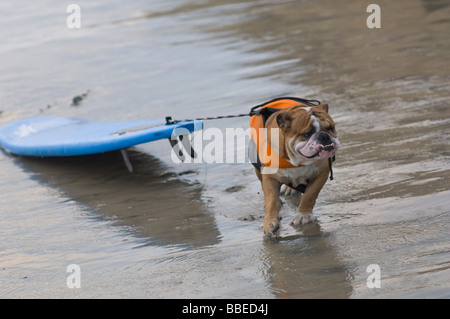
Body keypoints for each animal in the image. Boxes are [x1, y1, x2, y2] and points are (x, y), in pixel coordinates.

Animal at [250, 100, 338, 238]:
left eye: (331, 128)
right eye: (306, 134)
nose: (324, 136)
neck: (298, 161)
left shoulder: (322, 173)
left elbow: (310, 195)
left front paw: (303, 216)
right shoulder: (269, 177)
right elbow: (271, 200)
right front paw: (269, 223)